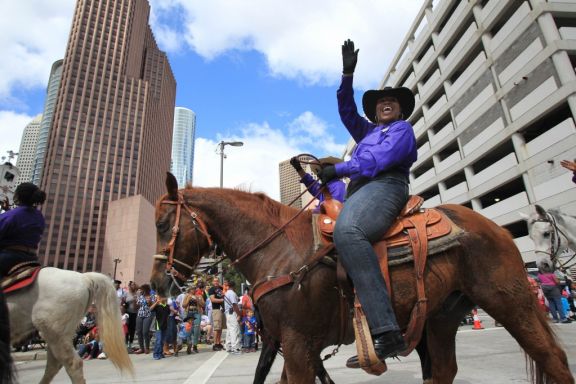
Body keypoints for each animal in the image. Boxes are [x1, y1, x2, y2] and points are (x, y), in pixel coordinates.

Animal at [151, 174, 572, 384]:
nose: (157, 283)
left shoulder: (298, 343)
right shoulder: (288, 343)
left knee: (553, 358)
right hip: (442, 317)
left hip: (509, 300)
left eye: (161, 224)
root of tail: (497, 229)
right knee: (444, 371)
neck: (280, 251)